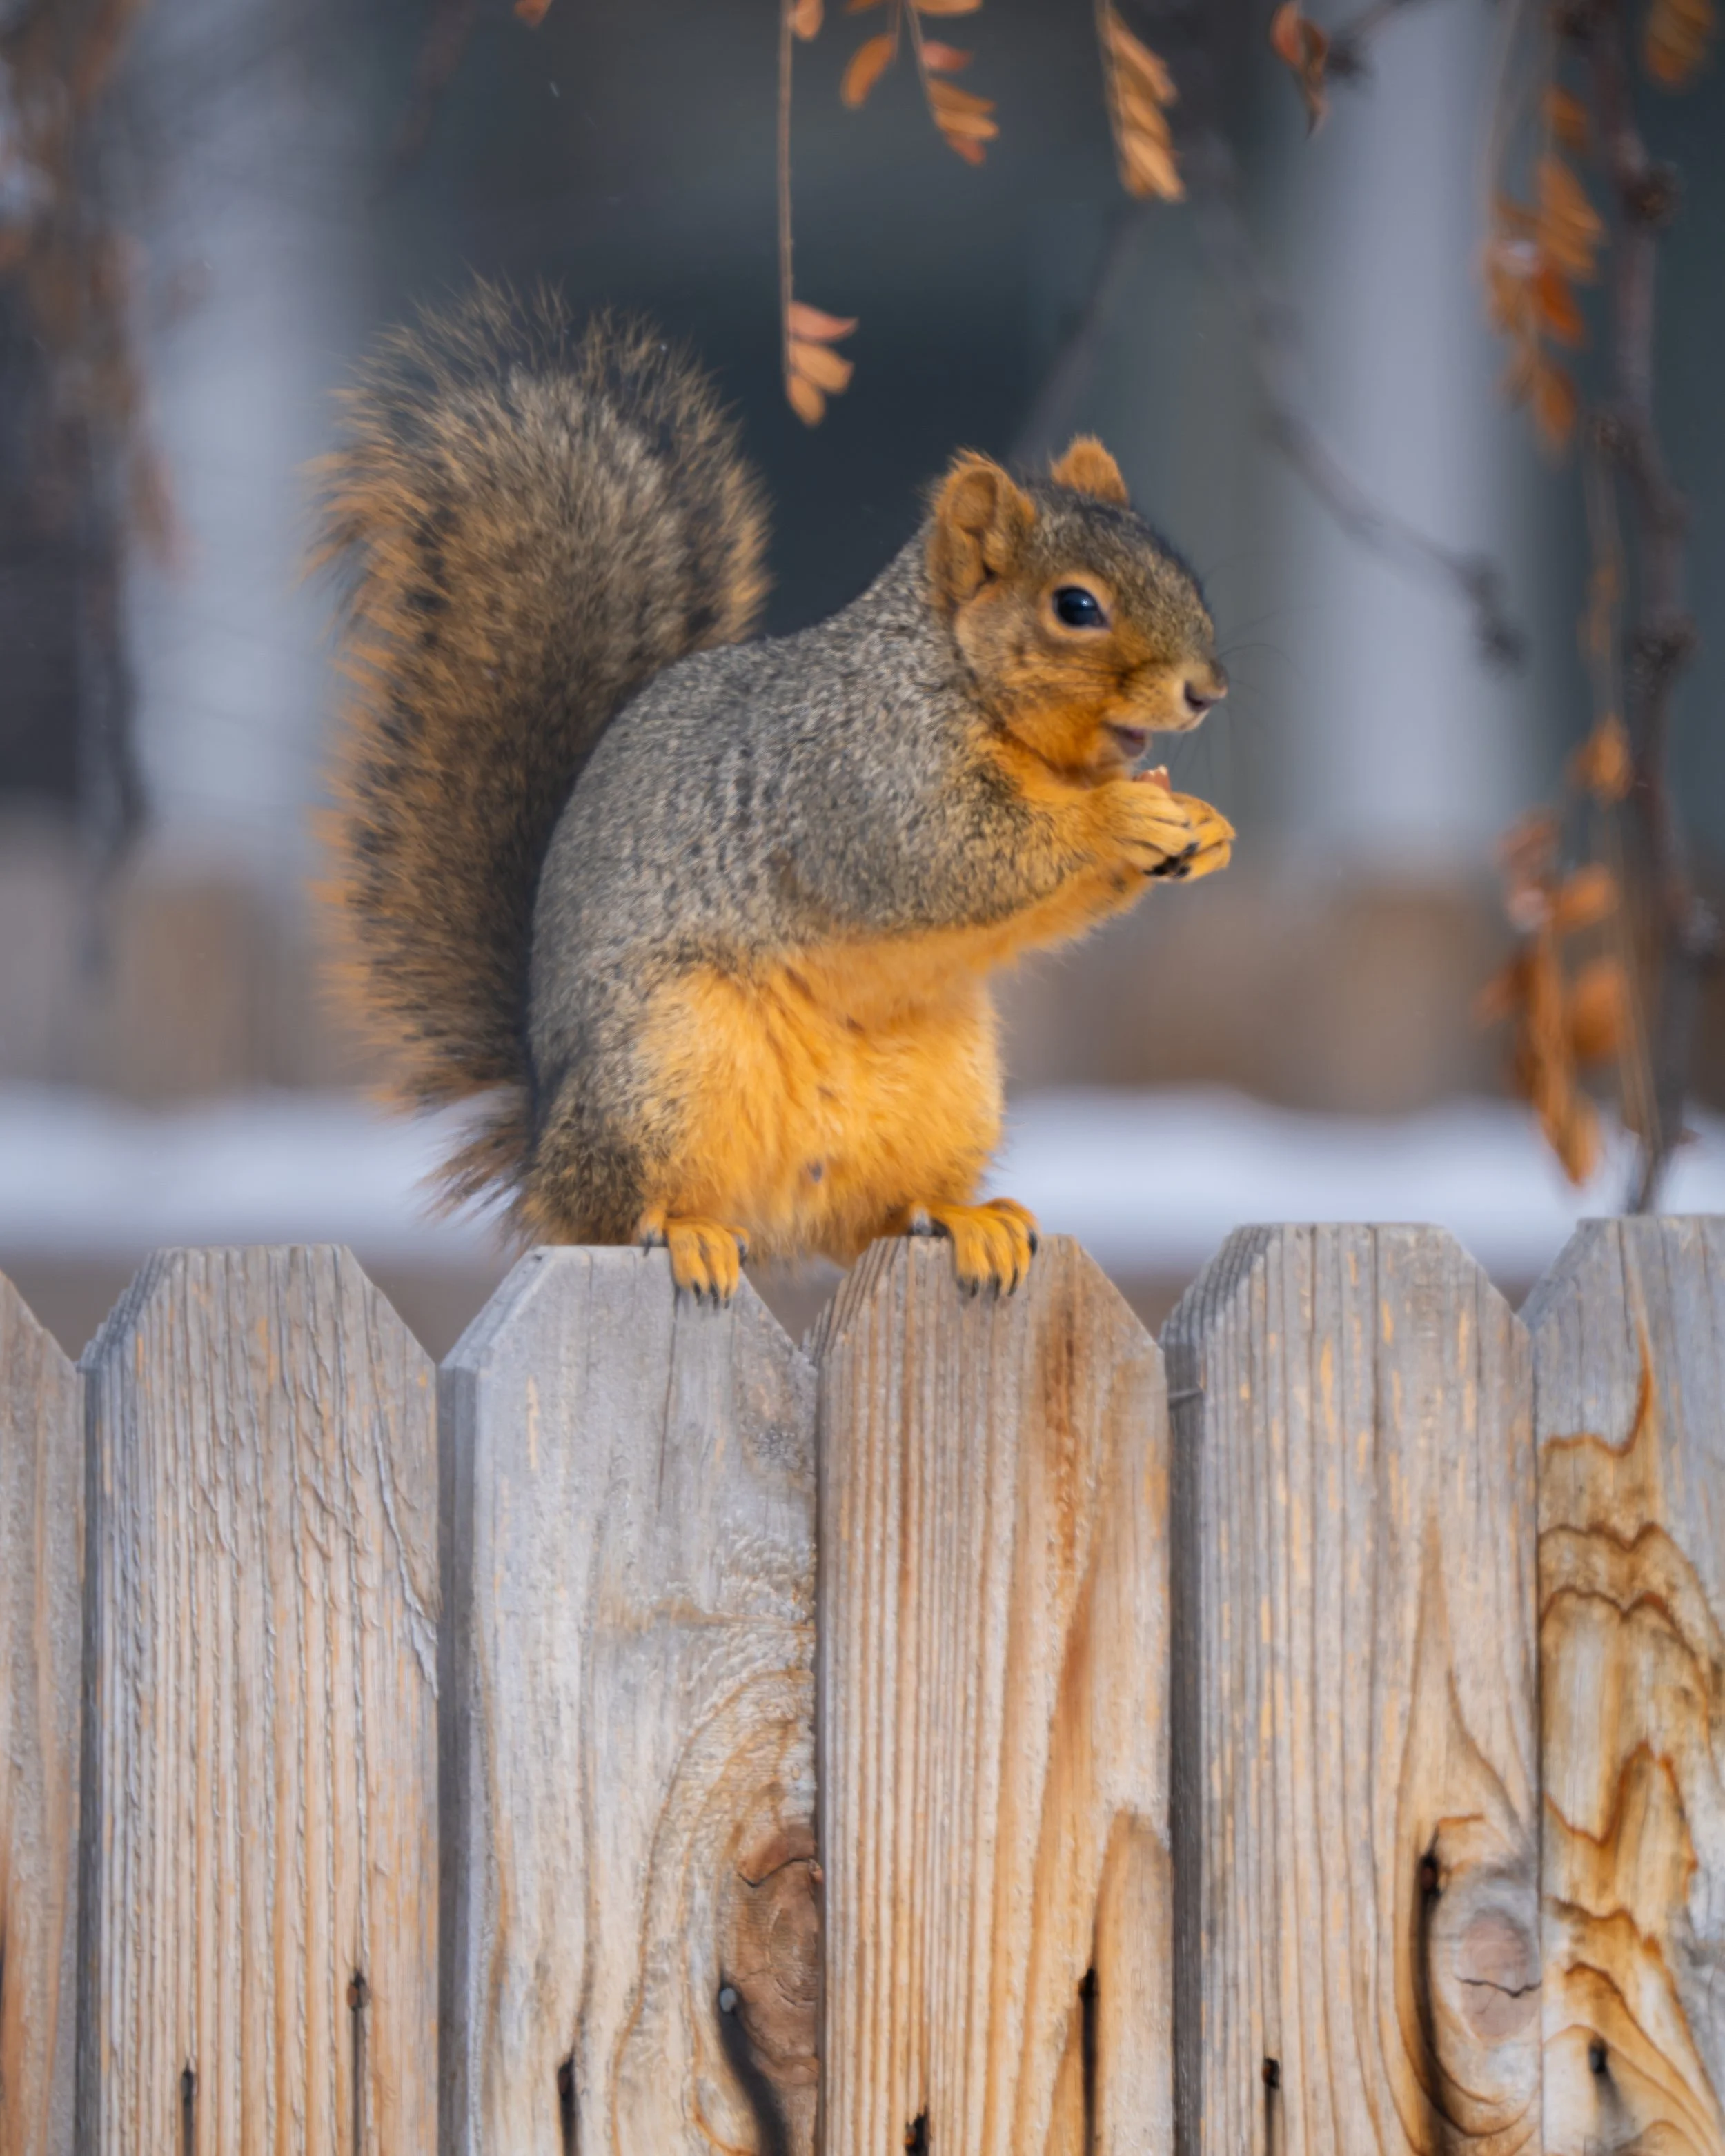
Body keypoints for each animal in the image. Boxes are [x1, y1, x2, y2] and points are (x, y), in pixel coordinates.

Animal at [318, 284, 1232, 1302]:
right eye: (1075, 606)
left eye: (1180, 568)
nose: (1208, 690)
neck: (961, 684)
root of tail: (540, 1145)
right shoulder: (859, 783)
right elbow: (950, 856)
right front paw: (1119, 816)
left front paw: (1204, 828)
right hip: (666, 1063)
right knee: (615, 1209)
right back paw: (685, 1232)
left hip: (945, 1090)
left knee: (872, 1220)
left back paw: (962, 1218)